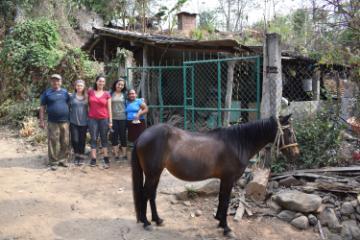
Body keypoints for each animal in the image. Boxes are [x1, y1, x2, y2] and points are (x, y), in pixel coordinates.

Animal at [131, 114, 300, 236]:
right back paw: (146, 223)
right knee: (145, 194)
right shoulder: (228, 179)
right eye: (289, 132)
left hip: (155, 174)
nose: (296, 153)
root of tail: (142, 136)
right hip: (152, 174)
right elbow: (225, 201)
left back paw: (157, 220)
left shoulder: (224, 180)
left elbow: (221, 199)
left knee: (151, 195)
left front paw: (219, 220)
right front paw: (226, 228)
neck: (238, 143)